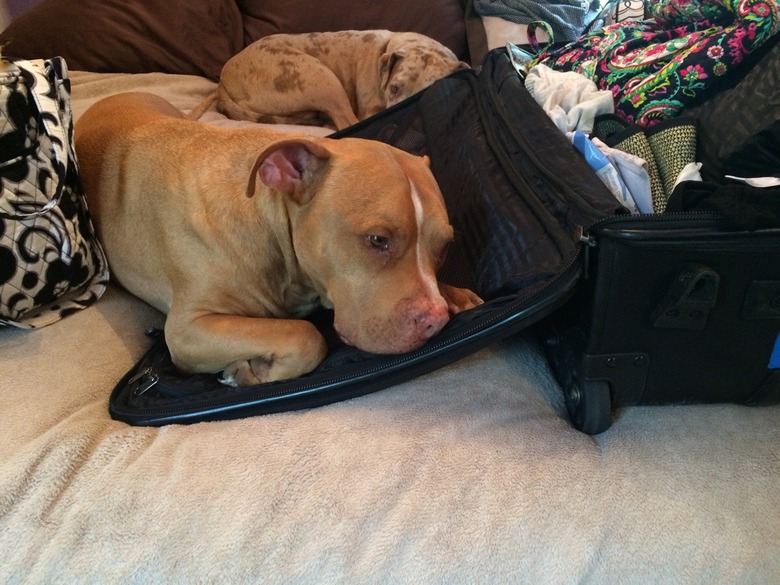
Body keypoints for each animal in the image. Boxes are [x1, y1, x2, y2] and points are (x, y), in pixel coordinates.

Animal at [77, 92, 482, 384]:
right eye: (377, 240)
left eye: (444, 246)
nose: (436, 320)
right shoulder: (188, 327)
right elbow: (305, 336)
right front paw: (251, 371)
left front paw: (454, 293)